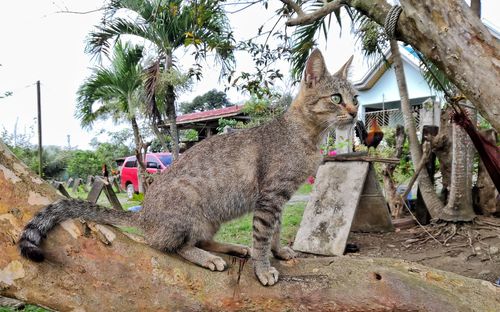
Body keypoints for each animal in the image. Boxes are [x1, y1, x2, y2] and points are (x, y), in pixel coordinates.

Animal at [16, 50, 360, 286]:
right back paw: (209, 258)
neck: (306, 135)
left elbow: (272, 232)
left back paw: (232, 248)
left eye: (355, 97)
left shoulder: (280, 198)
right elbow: (263, 236)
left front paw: (278, 252)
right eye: (336, 98)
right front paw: (263, 268)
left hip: (211, 217)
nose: (355, 111)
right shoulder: (271, 196)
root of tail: (144, 216)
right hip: (187, 208)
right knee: (173, 247)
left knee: (200, 238)